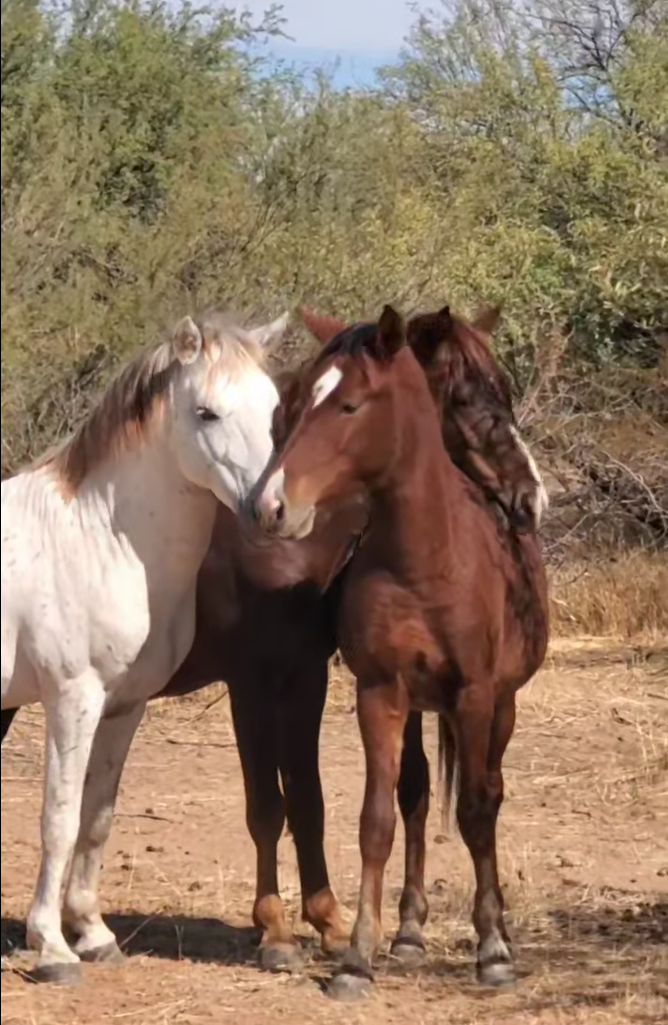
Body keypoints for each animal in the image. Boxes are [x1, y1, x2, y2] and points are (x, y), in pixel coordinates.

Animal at [0, 307, 286, 979]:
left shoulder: (124, 707)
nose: (274, 510)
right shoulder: (72, 700)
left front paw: (92, 933)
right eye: (206, 413)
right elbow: (60, 817)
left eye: (273, 408)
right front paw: (51, 947)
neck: (100, 537)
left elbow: (98, 818)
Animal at [253, 303, 549, 1000]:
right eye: (298, 401)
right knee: (415, 795)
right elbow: (378, 822)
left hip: (499, 707)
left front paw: (494, 950)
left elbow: (475, 811)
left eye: (350, 405)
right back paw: (410, 933)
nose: (273, 504)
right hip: (419, 708)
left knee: (489, 792)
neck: (427, 562)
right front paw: (358, 958)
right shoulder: (381, 695)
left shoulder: (474, 695)